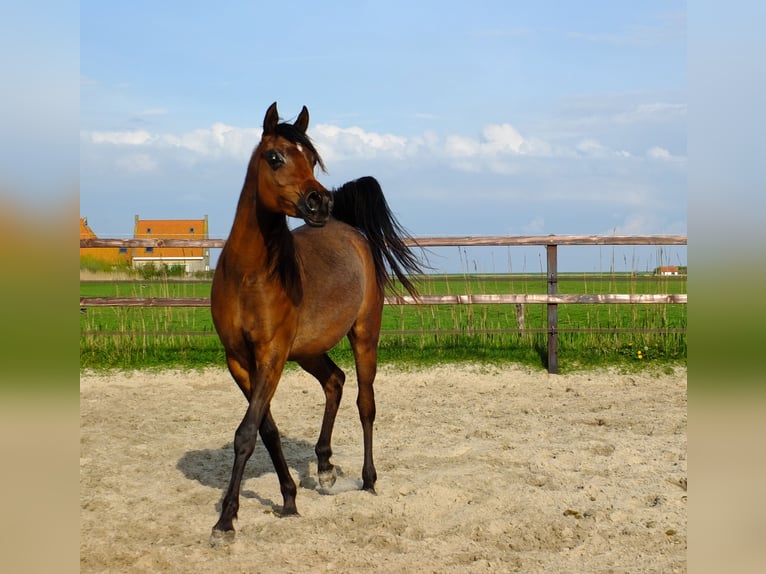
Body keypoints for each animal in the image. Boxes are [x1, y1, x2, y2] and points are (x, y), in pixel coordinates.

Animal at [208, 102, 426, 540]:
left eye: (310, 159)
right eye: (275, 157)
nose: (319, 202)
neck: (248, 275)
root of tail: (350, 231)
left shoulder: (271, 356)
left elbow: (246, 434)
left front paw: (226, 519)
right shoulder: (239, 360)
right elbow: (266, 430)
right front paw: (289, 499)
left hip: (364, 336)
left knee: (365, 403)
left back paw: (368, 479)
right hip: (308, 351)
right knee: (334, 381)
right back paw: (324, 467)